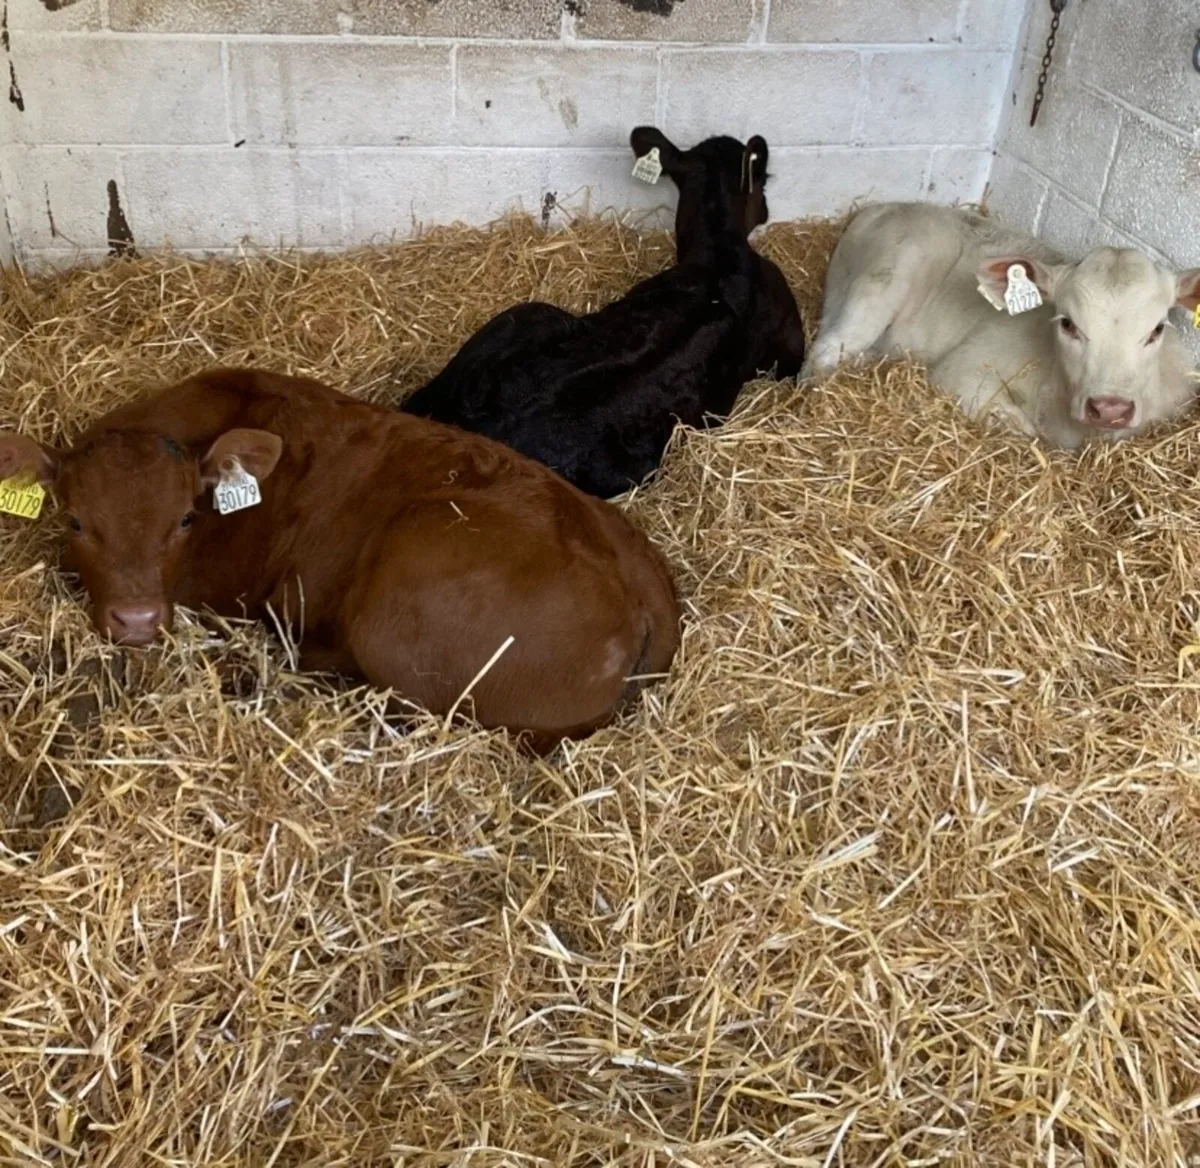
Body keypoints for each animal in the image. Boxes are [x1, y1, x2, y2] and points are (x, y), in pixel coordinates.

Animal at [803, 203, 1200, 448]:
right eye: (1068, 324)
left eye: (1157, 330)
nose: (1110, 408)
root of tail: (881, 207)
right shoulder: (961, 369)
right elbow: (1020, 427)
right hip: (886, 276)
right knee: (825, 350)